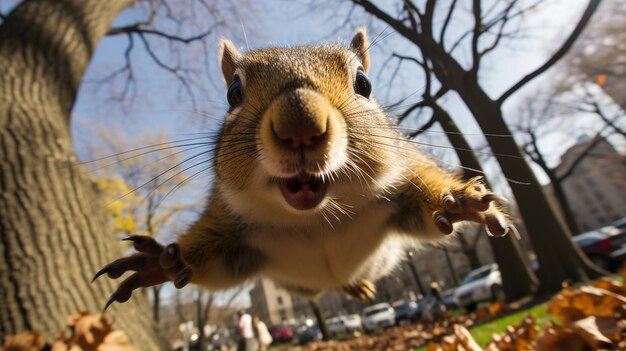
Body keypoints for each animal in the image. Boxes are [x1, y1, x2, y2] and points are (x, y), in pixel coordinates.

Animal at [92, 28, 512, 308]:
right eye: (233, 93)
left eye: (364, 83)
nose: (300, 127)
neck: (317, 218)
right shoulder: (234, 234)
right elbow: (214, 263)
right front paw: (163, 262)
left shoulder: (400, 191)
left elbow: (426, 210)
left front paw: (458, 202)